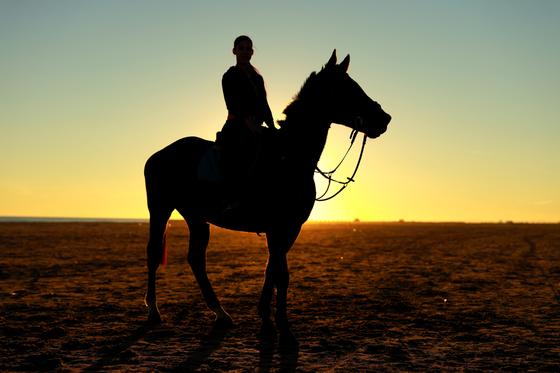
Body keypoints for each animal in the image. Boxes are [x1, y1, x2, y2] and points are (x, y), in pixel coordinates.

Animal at [144, 50, 390, 340]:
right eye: (348, 88)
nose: (384, 118)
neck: (289, 157)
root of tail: (159, 154)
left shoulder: (290, 228)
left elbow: (273, 269)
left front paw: (267, 316)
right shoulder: (278, 226)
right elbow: (280, 273)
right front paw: (282, 325)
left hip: (196, 217)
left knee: (196, 259)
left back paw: (221, 314)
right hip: (160, 208)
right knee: (153, 253)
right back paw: (153, 311)